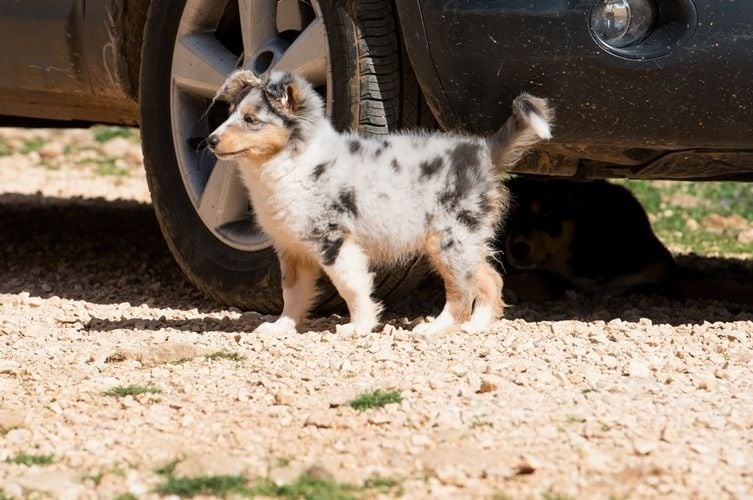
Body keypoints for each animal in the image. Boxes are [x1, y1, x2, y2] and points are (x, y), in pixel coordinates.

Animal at [207, 70, 552, 336]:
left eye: (251, 119)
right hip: (462, 241)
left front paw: (358, 326)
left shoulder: (335, 243)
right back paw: (477, 326)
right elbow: (292, 292)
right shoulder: (291, 248)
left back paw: (437, 328)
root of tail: (484, 151)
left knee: (462, 290)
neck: (291, 164)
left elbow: (352, 287)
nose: (210, 140)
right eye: (229, 114)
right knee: (490, 278)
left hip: (449, 239)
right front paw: (282, 327)